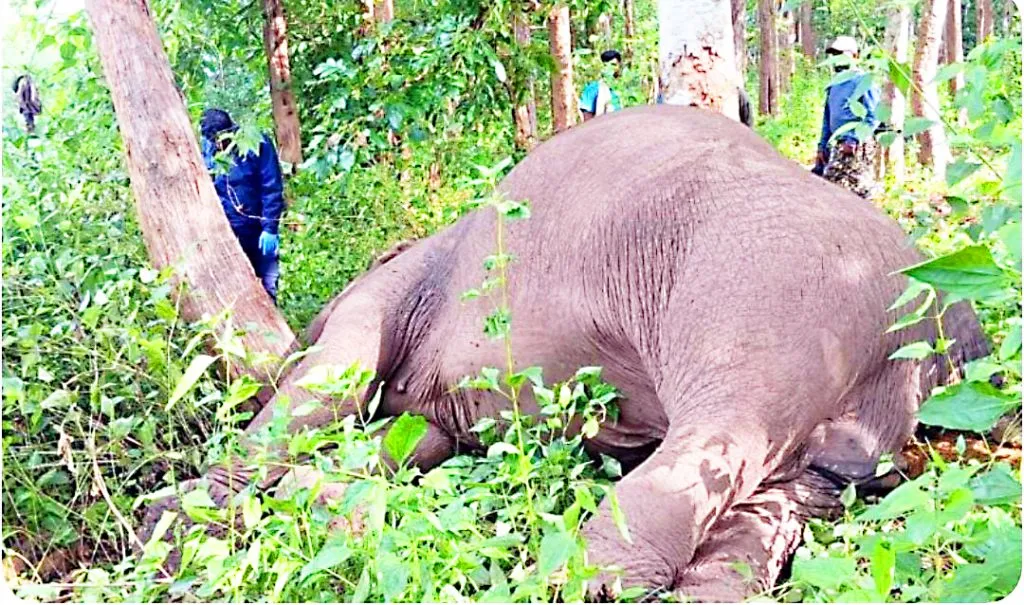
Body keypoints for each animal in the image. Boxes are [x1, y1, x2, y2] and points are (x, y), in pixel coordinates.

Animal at [144, 105, 988, 601]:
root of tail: (945, 320)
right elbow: (415, 435)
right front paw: (313, 496)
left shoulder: (384, 297)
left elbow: (334, 379)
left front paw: (179, 525)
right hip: (850, 415)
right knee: (787, 492)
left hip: (767, 303)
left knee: (718, 437)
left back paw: (571, 582)